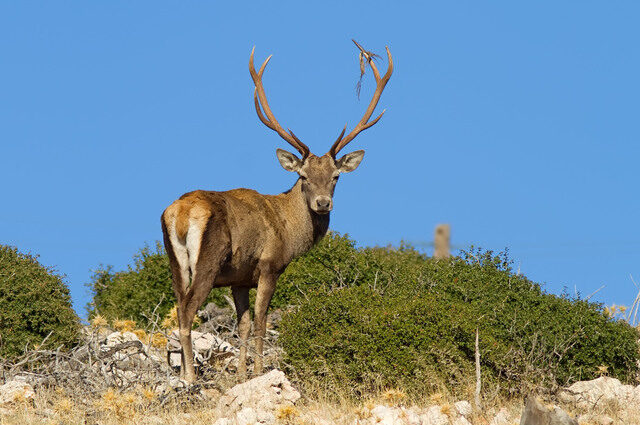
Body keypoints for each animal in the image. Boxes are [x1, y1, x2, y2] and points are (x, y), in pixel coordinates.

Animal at [161, 41, 393, 383]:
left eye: (336, 176)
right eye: (303, 176)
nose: (323, 203)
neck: (288, 230)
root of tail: (181, 213)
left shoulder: (240, 278)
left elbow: (243, 324)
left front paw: (242, 373)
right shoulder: (269, 265)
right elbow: (261, 320)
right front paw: (259, 371)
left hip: (175, 262)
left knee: (178, 304)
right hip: (208, 261)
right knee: (188, 310)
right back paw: (190, 377)